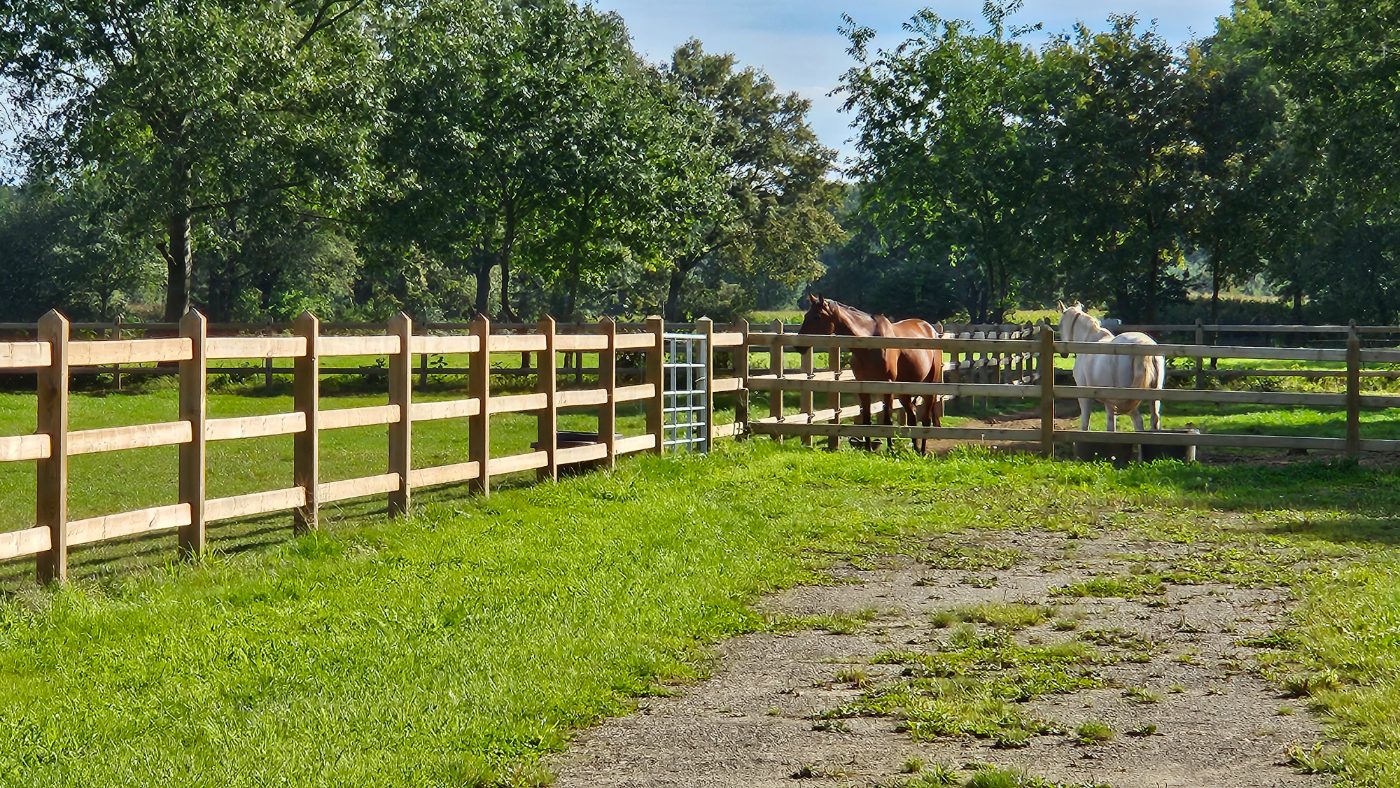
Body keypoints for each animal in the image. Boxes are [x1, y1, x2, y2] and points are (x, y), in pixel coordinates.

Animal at [798, 295, 944, 453]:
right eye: (806, 315)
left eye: (817, 317)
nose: (798, 345)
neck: (869, 344)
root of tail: (930, 329)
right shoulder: (864, 386)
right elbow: (866, 419)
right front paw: (868, 449)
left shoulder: (887, 386)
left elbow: (887, 420)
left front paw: (890, 449)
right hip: (905, 392)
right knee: (912, 416)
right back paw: (915, 449)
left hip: (929, 387)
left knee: (926, 420)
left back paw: (922, 451)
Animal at [1057, 301, 1164, 432]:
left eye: (1060, 325)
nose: (1063, 354)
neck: (1089, 340)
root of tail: (1144, 346)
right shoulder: (1109, 401)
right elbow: (1110, 425)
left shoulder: (1084, 396)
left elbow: (1085, 423)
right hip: (1153, 397)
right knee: (1155, 420)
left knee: (1138, 421)